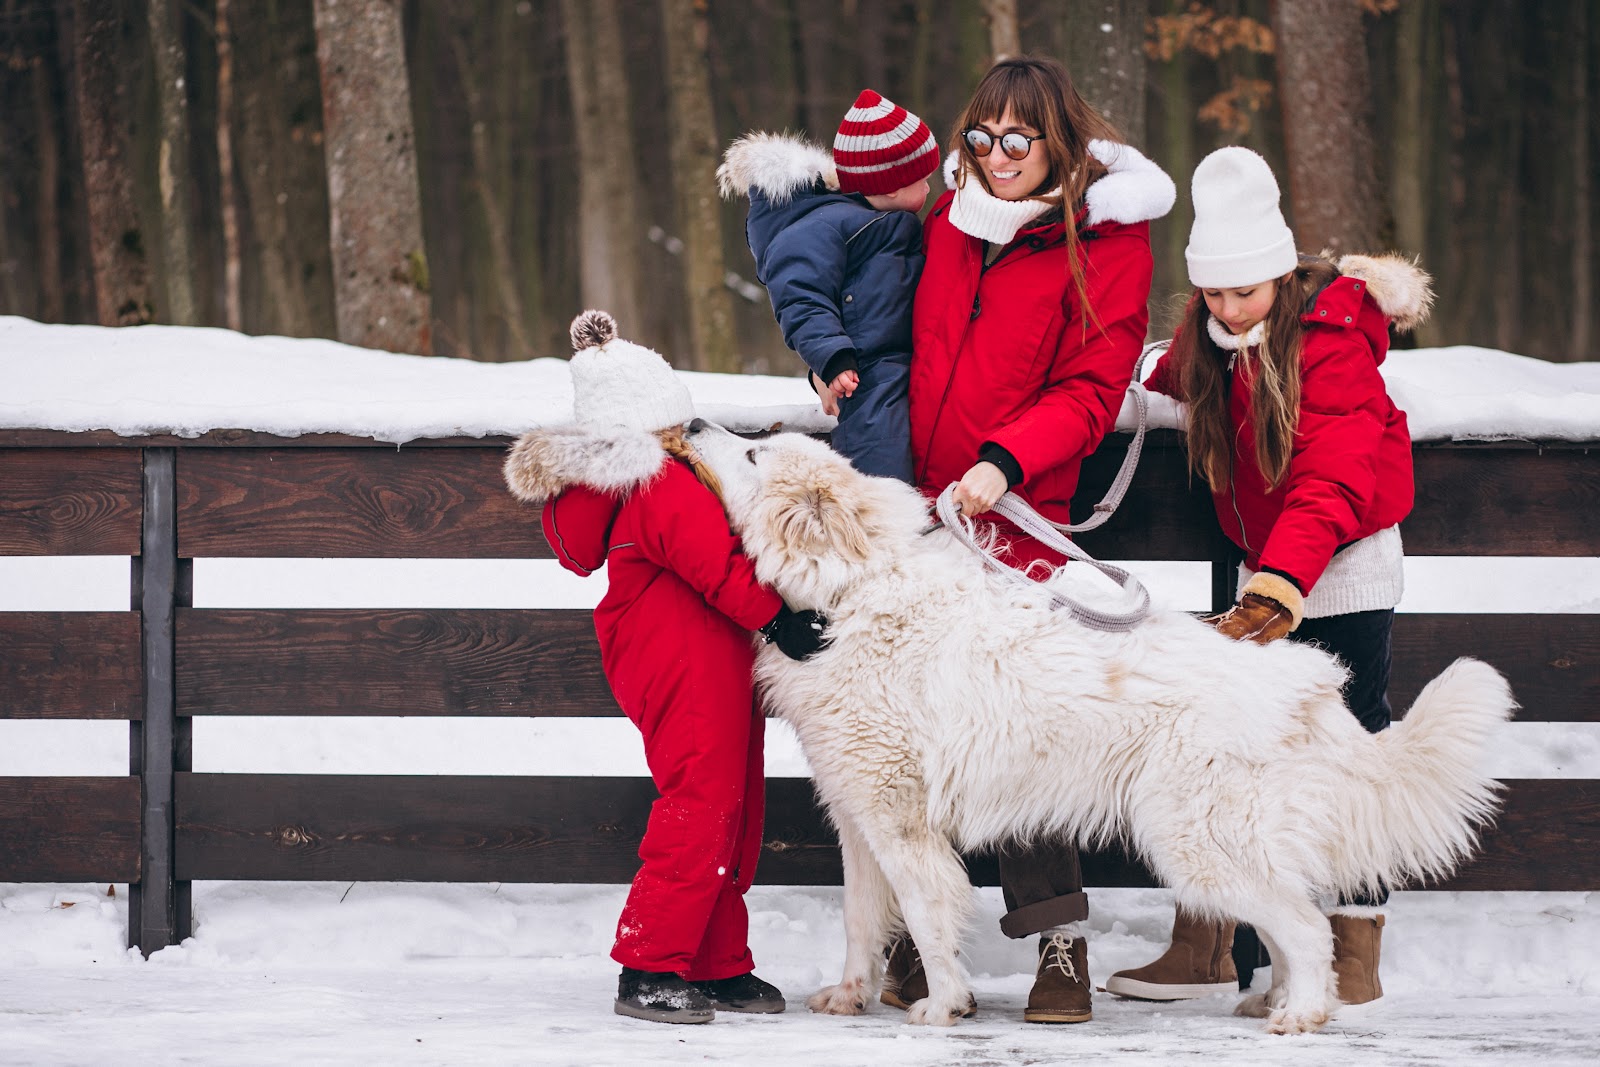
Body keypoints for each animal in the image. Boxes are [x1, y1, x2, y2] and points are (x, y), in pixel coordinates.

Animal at [688, 419, 1510, 1036]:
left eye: (755, 454)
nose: (693, 421)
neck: (850, 592)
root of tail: (1301, 684)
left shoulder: (901, 821)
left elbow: (925, 913)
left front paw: (943, 1004)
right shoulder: (860, 817)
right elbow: (864, 919)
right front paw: (849, 995)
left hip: (1197, 843)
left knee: (1307, 927)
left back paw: (1300, 1015)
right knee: (1291, 921)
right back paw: (1272, 1001)